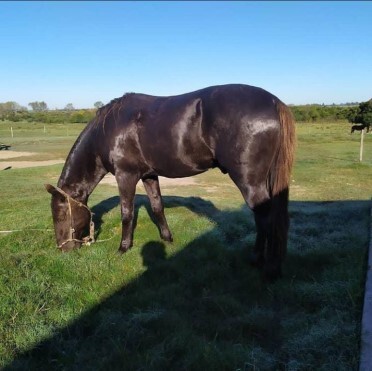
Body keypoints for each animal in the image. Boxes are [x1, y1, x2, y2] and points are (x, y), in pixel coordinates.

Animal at [45, 83, 296, 280]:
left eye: (60, 214)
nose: (63, 250)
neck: (108, 130)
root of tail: (275, 102)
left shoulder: (125, 176)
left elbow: (127, 213)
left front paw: (123, 248)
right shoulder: (148, 175)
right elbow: (157, 206)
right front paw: (167, 238)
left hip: (249, 182)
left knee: (266, 219)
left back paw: (266, 266)